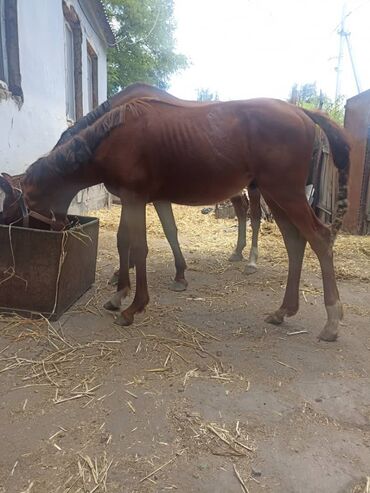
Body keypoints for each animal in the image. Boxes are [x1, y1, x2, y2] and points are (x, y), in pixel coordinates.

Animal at [20, 96, 350, 342]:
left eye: (28, 203)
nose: (35, 238)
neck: (113, 137)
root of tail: (302, 112)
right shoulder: (130, 199)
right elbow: (123, 241)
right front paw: (119, 295)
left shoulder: (136, 198)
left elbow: (139, 248)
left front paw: (133, 308)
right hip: (276, 196)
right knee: (296, 243)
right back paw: (283, 311)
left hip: (284, 193)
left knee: (320, 238)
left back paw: (332, 321)